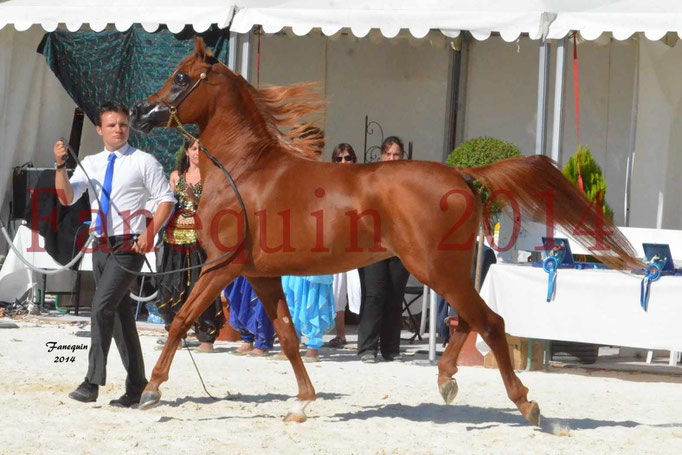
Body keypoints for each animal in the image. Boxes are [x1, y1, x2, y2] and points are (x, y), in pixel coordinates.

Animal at [130, 37, 640, 426]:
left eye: (181, 77)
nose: (139, 112)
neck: (246, 171)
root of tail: (462, 176)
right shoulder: (260, 275)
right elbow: (289, 338)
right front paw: (303, 403)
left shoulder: (221, 267)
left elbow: (180, 320)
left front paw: (151, 390)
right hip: (446, 271)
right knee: (465, 321)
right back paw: (447, 380)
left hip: (435, 269)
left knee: (490, 322)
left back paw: (528, 406)